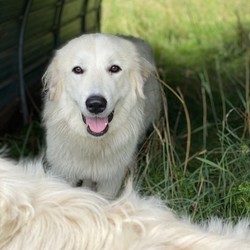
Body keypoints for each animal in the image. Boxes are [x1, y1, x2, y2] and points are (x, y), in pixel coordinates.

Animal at [42, 33, 160, 198]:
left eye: (114, 68)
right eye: (77, 70)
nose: (96, 104)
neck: (93, 144)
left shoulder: (111, 180)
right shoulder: (64, 173)